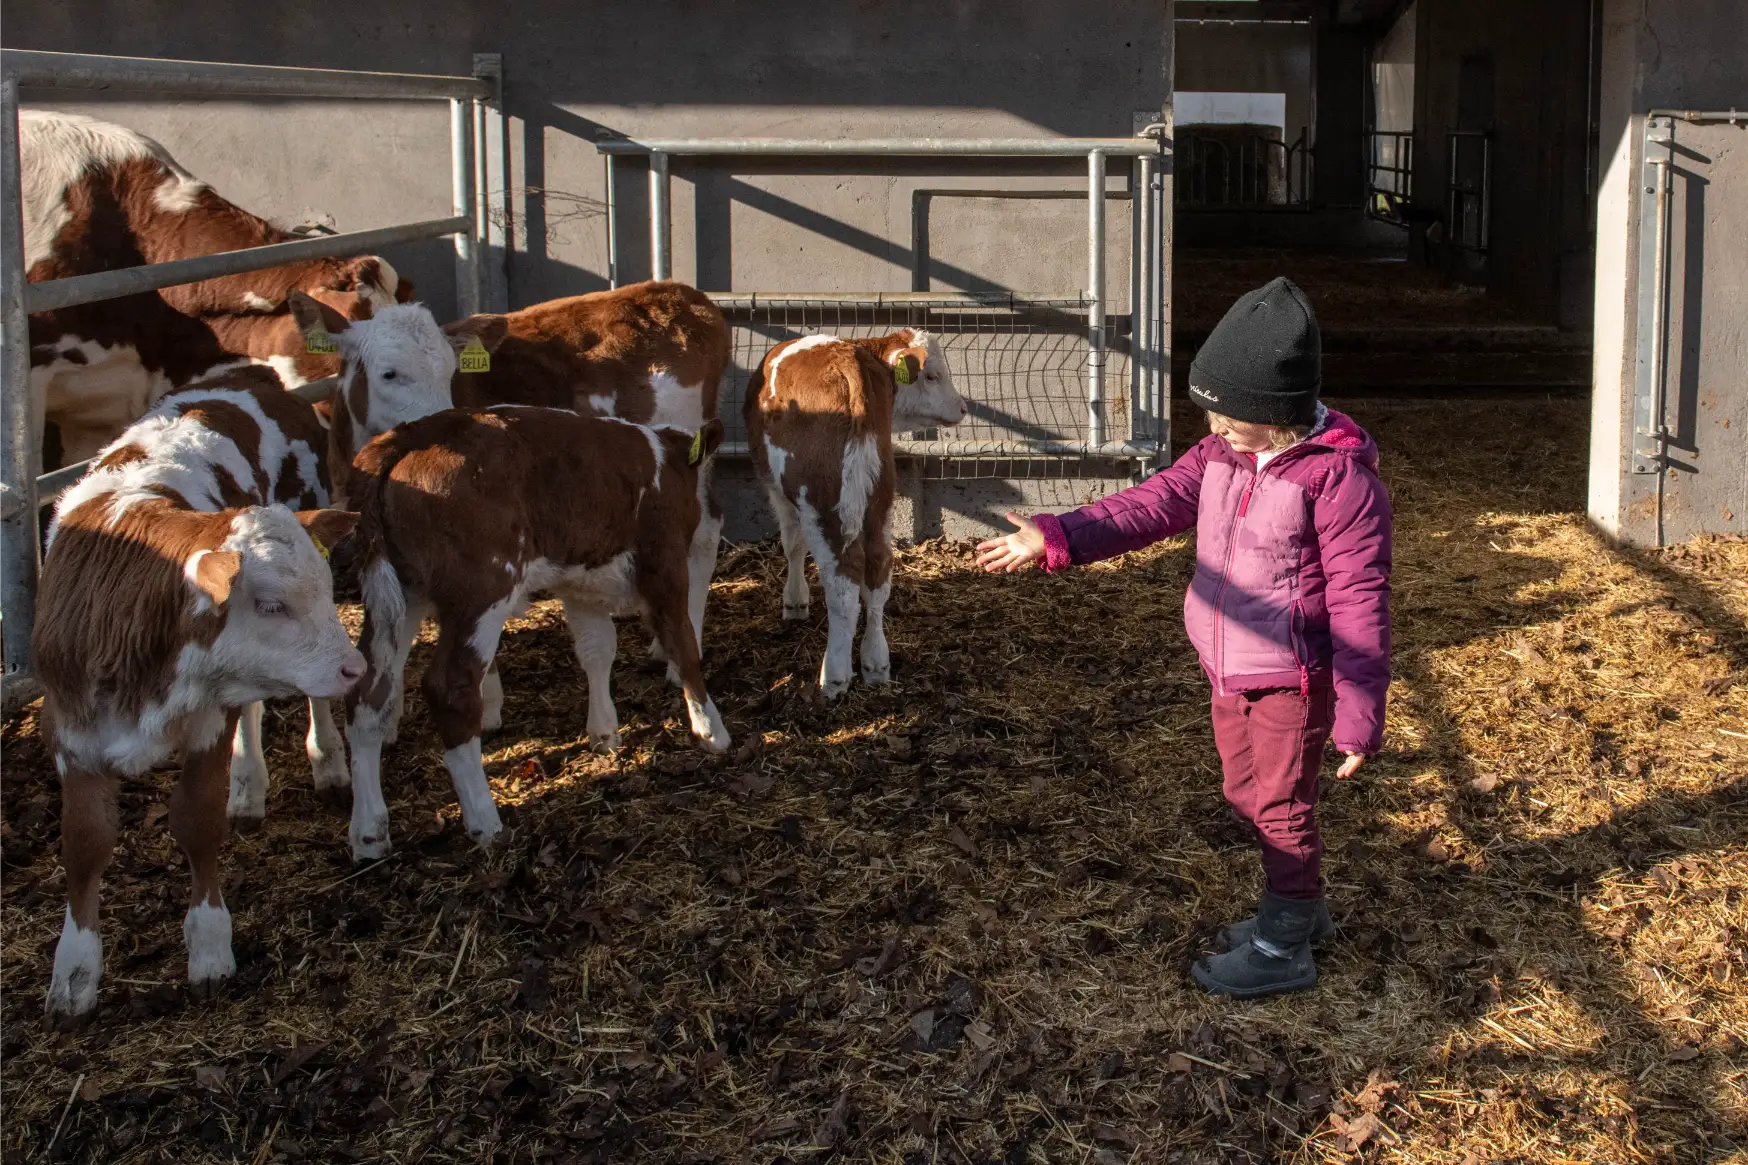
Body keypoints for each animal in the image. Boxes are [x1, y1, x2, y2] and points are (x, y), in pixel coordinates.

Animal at [32, 374, 361, 1014]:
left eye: (320, 591)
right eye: (269, 605)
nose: (355, 666)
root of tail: (253, 377)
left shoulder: (210, 713)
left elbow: (196, 819)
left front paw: (210, 947)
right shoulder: (70, 725)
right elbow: (85, 841)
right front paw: (74, 973)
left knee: (309, 698)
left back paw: (327, 761)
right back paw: (250, 785)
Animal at [344, 404, 727, 857]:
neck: (664, 462)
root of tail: (408, 436)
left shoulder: (583, 583)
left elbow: (598, 651)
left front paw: (603, 731)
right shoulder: (664, 562)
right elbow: (683, 646)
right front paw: (711, 731)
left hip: (402, 595)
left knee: (369, 692)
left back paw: (368, 832)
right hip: (482, 587)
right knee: (450, 690)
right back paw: (485, 822)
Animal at [744, 321, 978, 692]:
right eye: (931, 376)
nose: (963, 408)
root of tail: (847, 365)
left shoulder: (778, 491)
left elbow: (792, 545)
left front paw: (794, 601)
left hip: (824, 506)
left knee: (843, 584)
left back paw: (835, 675)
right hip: (879, 498)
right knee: (878, 572)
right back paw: (876, 662)